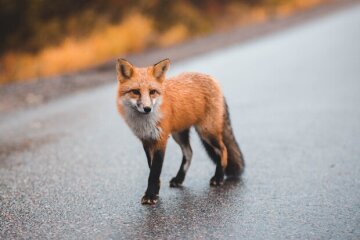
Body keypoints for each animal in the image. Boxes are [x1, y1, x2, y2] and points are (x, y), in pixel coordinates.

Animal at [116, 58, 245, 204]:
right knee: (189, 153)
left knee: (223, 150)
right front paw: (155, 192)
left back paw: (218, 177)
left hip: (206, 131)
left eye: (152, 92)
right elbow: (152, 170)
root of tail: (212, 79)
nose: (147, 109)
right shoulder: (146, 140)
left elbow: (154, 171)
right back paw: (179, 179)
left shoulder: (161, 139)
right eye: (136, 92)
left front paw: (150, 195)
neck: (146, 122)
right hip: (179, 134)